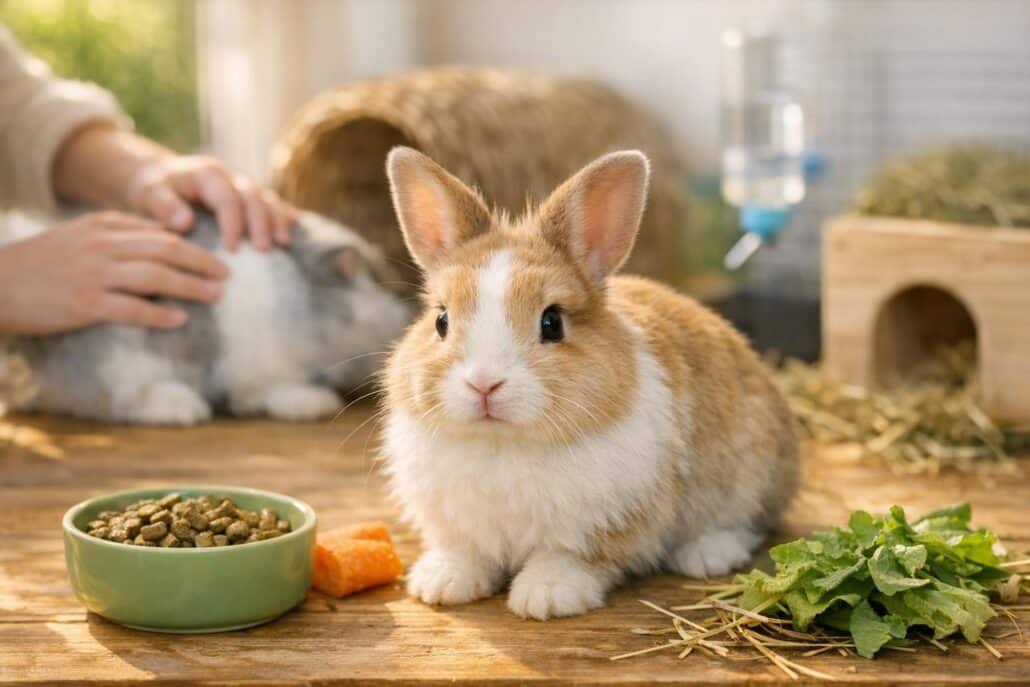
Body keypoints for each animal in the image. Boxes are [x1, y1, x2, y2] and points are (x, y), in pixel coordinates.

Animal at [10, 210, 411, 424]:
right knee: (119, 402)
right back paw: (183, 409)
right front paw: (312, 403)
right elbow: (272, 388)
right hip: (126, 361)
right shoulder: (266, 367)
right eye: (383, 287)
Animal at [380, 147, 799, 620]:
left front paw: (545, 597)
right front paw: (440, 584)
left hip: (747, 477)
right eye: (441, 320)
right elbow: (465, 552)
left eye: (552, 322)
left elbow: (573, 557)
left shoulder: (603, 524)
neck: (502, 441)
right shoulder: (458, 525)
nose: (484, 384)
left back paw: (707, 556)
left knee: (747, 523)